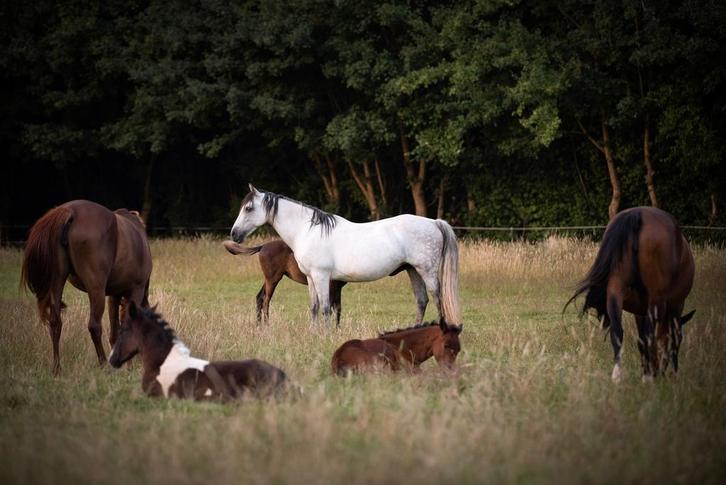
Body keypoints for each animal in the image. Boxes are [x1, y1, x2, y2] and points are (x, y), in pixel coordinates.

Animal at [20, 200, 152, 374]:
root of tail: (70, 211)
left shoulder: (114, 296)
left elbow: (115, 332)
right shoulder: (136, 290)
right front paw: (127, 367)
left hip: (57, 282)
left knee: (55, 323)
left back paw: (57, 368)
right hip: (96, 288)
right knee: (94, 326)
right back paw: (103, 364)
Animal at [230, 185, 462, 326]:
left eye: (248, 208)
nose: (234, 234)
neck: (308, 230)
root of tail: (433, 222)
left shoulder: (322, 277)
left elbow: (325, 308)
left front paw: (325, 336)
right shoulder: (311, 278)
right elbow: (314, 307)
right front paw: (314, 334)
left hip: (427, 271)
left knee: (438, 299)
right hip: (413, 270)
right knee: (422, 301)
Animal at [565, 207, 695, 382]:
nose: (660, 370)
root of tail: (637, 214)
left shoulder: (640, 312)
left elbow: (641, 340)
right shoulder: (676, 306)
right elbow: (669, 337)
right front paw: (669, 373)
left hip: (615, 293)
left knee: (617, 333)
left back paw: (618, 376)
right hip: (655, 300)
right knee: (648, 335)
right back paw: (647, 378)